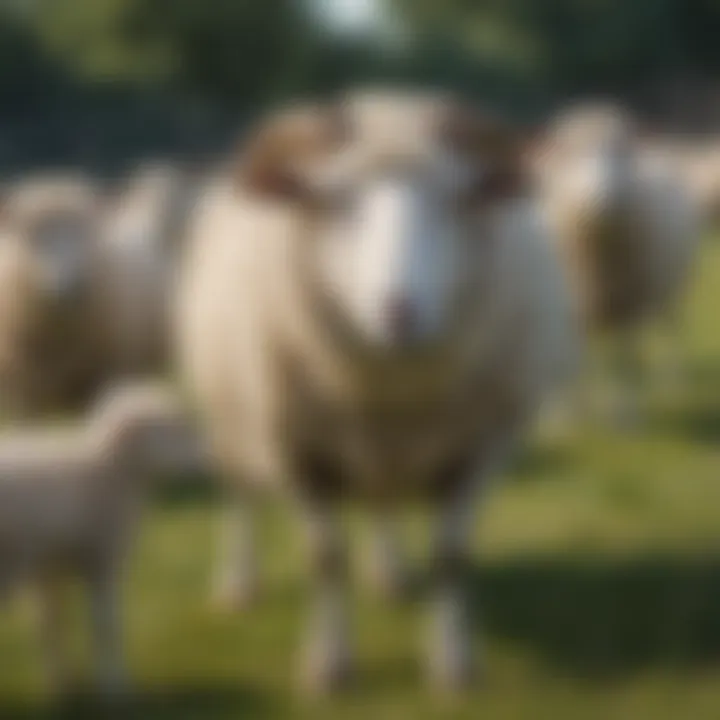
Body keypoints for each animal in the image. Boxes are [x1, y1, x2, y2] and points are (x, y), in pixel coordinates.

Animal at [0, 380, 205, 700]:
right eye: (175, 429)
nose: (210, 459)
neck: (108, 470)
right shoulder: (102, 558)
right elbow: (106, 625)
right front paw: (114, 687)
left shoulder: (50, 567)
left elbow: (51, 624)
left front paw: (61, 684)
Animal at [176, 88, 580, 692]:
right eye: (335, 200)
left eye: (455, 200)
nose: (399, 312)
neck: (393, 387)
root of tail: (385, 101)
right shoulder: (302, 455)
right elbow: (325, 559)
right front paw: (329, 666)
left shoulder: (479, 449)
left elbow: (452, 557)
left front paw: (454, 665)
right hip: (229, 418)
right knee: (240, 497)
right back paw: (238, 587)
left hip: (379, 452)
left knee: (381, 501)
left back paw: (389, 576)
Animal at [536, 102, 696, 428]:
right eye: (574, 153)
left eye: (621, 152)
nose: (605, 200)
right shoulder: (575, 305)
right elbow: (571, 364)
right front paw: (561, 416)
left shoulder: (627, 304)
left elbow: (625, 362)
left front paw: (627, 416)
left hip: (673, 285)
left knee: (672, 329)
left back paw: (673, 380)